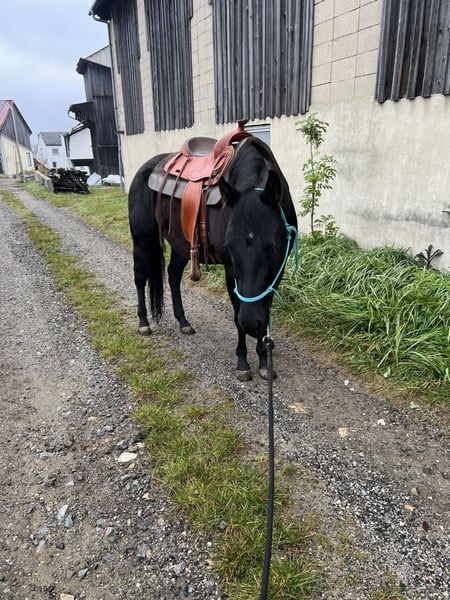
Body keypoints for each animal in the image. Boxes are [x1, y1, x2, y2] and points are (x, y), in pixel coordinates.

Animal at [128, 134, 298, 381]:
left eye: (274, 247)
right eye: (230, 246)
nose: (251, 322)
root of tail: (145, 168)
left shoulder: (277, 271)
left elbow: (264, 306)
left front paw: (265, 361)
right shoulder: (231, 270)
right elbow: (237, 314)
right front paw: (243, 363)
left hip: (181, 245)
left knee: (173, 276)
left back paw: (183, 322)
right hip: (143, 239)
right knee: (140, 277)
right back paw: (143, 323)